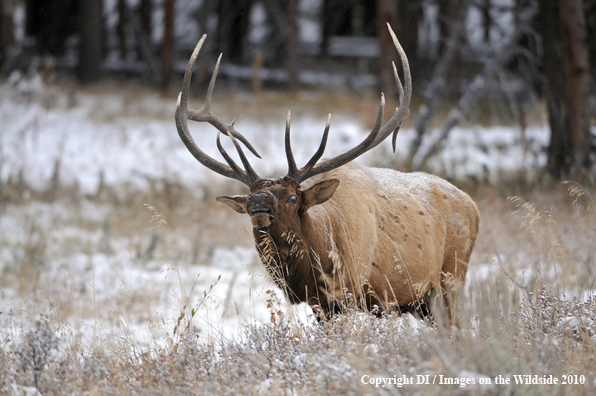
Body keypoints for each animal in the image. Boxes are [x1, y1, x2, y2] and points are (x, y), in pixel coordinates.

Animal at [176, 24, 480, 324]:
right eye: (250, 198)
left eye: (292, 198)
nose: (259, 205)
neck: (316, 266)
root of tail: (473, 206)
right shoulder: (320, 306)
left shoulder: (356, 291)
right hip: (423, 302)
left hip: (451, 277)